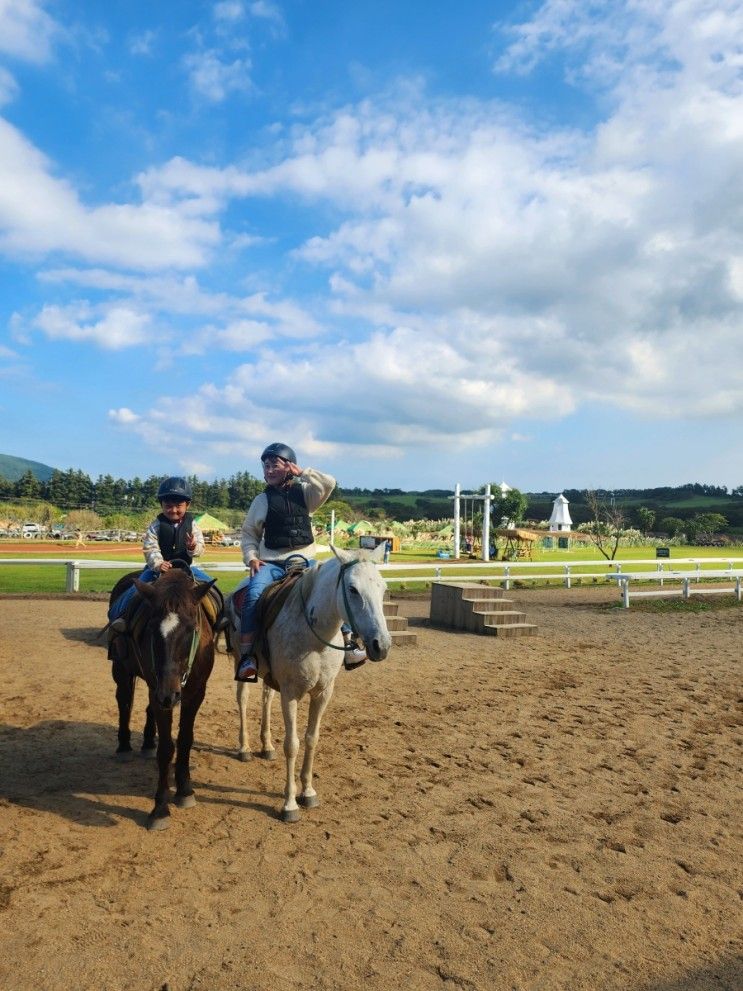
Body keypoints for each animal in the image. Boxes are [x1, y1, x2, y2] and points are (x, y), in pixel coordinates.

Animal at [107, 564, 218, 828]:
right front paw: (160, 808)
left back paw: (148, 741)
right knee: (124, 702)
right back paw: (124, 746)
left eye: (192, 629)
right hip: (123, 671)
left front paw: (185, 790)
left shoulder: (195, 692)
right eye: (151, 629)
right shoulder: (160, 690)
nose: (170, 694)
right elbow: (167, 748)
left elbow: (185, 739)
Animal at [225, 544, 390, 820]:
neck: (316, 638)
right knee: (243, 699)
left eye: (383, 587)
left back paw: (266, 746)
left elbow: (312, 738)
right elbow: (292, 744)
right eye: (352, 589)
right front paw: (290, 803)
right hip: (241, 662)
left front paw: (308, 792)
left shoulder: (323, 693)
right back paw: (245, 748)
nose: (382, 645)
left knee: (266, 698)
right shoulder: (291, 693)